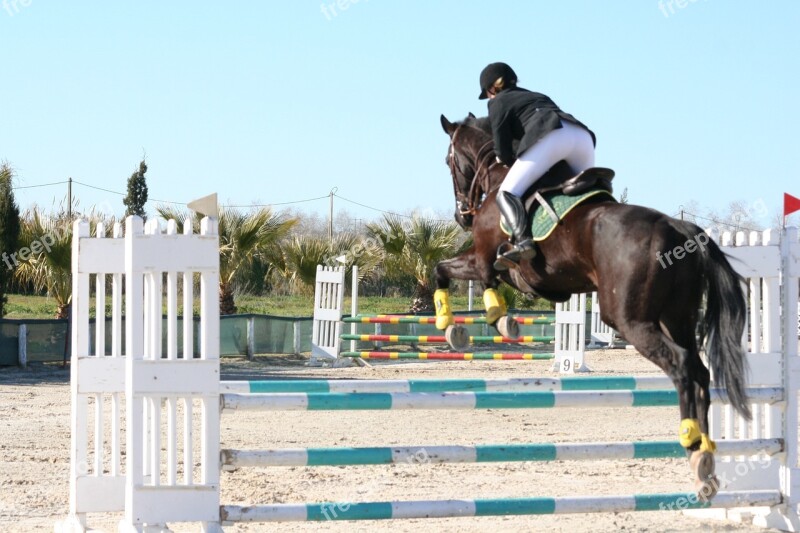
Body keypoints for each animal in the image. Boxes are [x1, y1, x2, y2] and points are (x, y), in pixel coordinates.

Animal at [434, 113, 748, 498]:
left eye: (449, 161)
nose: (462, 215)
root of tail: (677, 226)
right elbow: (457, 274)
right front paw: (482, 321)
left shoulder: (484, 258)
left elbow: (452, 272)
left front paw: (468, 324)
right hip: (678, 319)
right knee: (701, 371)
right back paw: (703, 458)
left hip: (631, 321)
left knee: (683, 367)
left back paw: (693, 446)